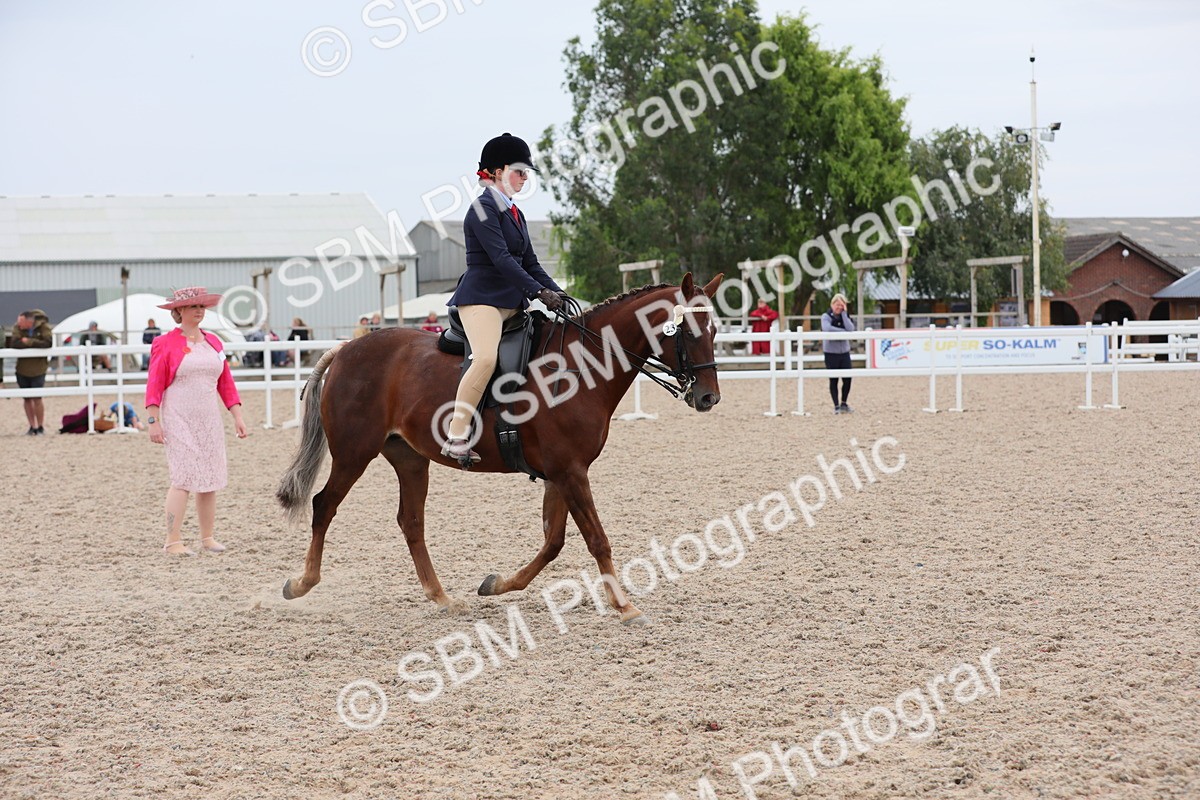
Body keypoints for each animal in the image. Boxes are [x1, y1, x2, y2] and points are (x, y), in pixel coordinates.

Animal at [275, 272, 724, 624]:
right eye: (687, 332)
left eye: (716, 331)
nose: (708, 398)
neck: (580, 365)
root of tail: (345, 350)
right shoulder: (570, 471)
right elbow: (596, 539)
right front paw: (625, 606)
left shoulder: (562, 472)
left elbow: (553, 542)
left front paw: (497, 585)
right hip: (354, 454)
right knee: (324, 506)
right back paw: (301, 584)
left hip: (409, 459)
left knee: (411, 522)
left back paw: (442, 598)